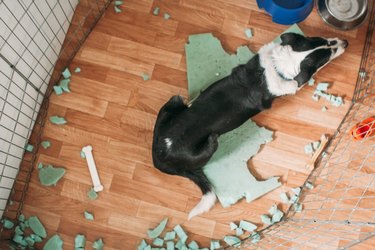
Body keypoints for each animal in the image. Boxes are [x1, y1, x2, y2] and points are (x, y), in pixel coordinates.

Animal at [151, 32, 348, 219]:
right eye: (328, 56)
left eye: (324, 40)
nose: (346, 42)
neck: (277, 66)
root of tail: (159, 158)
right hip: (210, 143)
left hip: (173, 101)